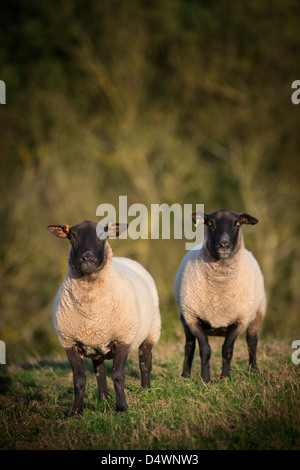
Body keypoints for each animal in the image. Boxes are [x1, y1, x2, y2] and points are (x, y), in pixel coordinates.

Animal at [47, 220, 161, 414]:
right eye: (72, 236)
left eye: (104, 235)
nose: (87, 258)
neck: (91, 310)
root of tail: (126, 259)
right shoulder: (69, 342)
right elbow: (79, 380)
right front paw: (76, 412)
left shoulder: (123, 338)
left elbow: (118, 376)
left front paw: (122, 407)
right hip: (96, 344)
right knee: (99, 370)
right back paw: (103, 398)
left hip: (151, 331)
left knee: (145, 361)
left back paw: (146, 389)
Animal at [173, 209, 268, 382]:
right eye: (210, 223)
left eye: (237, 223)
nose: (224, 245)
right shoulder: (193, 318)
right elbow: (205, 350)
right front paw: (205, 380)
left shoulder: (240, 320)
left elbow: (227, 350)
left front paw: (225, 378)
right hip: (184, 317)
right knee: (189, 344)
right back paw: (185, 376)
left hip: (257, 314)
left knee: (252, 341)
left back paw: (253, 370)